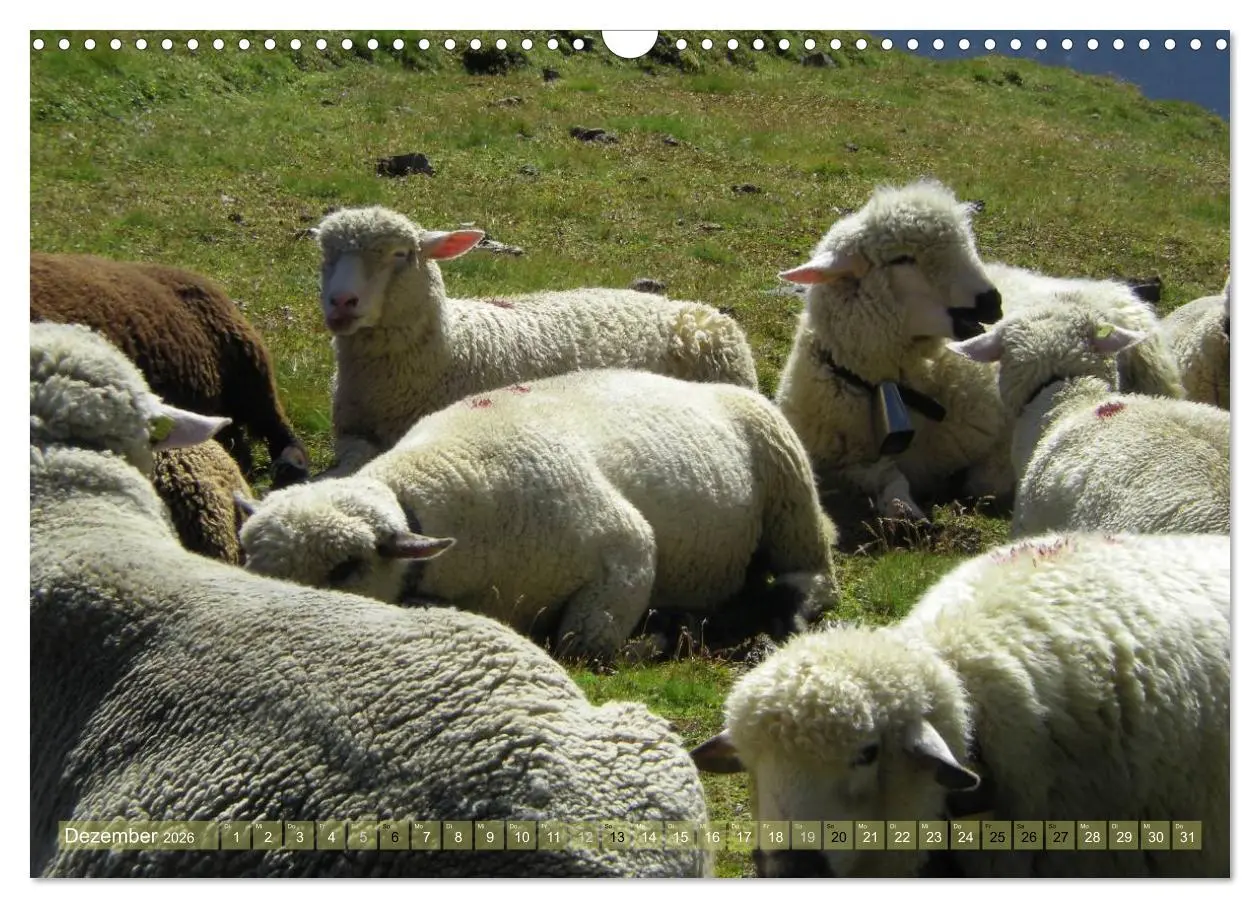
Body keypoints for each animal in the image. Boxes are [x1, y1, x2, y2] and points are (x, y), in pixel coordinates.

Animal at [239, 368, 839, 660]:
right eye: (247, 560)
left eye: (344, 568)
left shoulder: (625, 550)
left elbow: (583, 646)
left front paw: (662, 636)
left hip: (791, 494)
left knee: (813, 577)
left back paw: (778, 620)